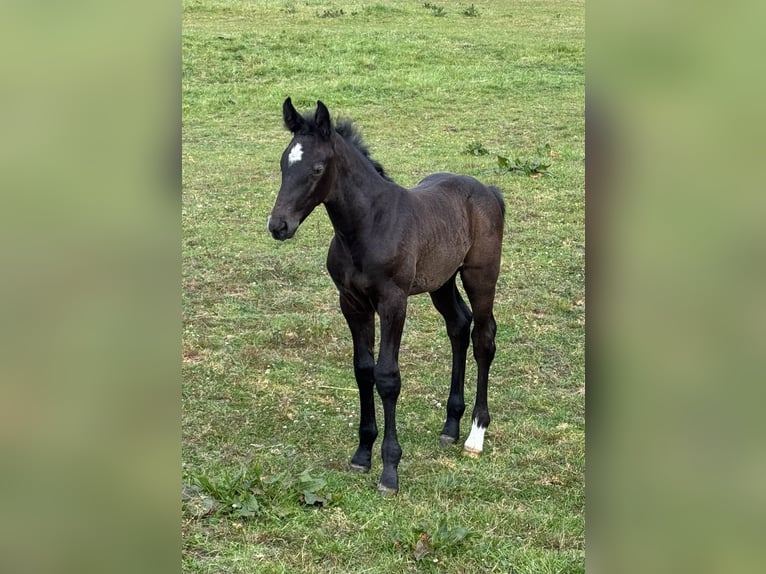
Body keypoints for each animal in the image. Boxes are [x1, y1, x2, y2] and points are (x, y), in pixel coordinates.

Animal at [268, 98, 505, 495]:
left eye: (317, 168)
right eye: (285, 163)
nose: (278, 226)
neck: (367, 225)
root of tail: (487, 189)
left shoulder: (393, 302)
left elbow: (388, 377)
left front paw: (390, 469)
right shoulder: (351, 303)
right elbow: (363, 370)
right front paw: (363, 453)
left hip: (481, 276)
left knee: (483, 338)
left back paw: (475, 435)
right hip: (441, 280)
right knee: (458, 325)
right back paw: (450, 426)